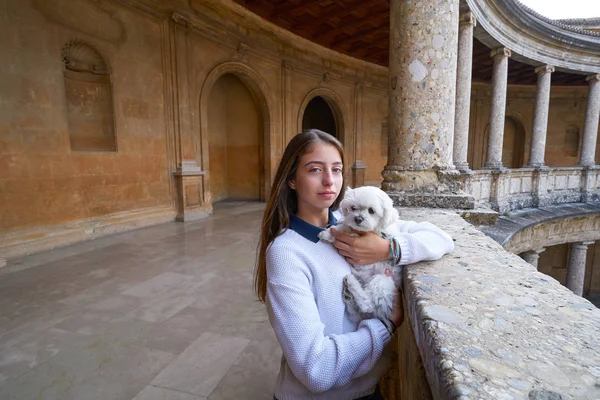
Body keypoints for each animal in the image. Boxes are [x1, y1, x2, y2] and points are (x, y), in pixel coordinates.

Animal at [322, 186, 400, 330]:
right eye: (353, 208)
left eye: (371, 211)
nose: (357, 219)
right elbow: (345, 226)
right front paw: (329, 232)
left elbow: (347, 231)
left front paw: (332, 232)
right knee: (357, 313)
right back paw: (349, 296)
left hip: (383, 281)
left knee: (367, 304)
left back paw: (352, 283)